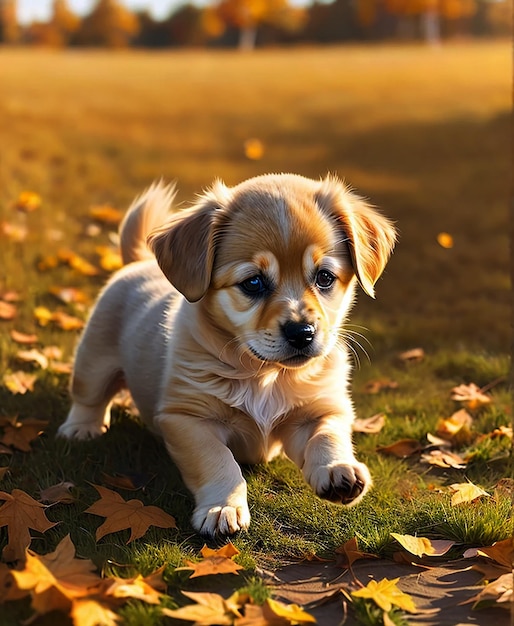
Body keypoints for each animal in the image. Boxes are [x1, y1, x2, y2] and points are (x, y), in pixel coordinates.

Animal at [59, 173, 396, 532]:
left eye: (325, 277)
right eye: (253, 283)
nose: (302, 333)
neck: (266, 376)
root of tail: (139, 262)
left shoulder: (319, 411)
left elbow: (328, 437)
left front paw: (337, 470)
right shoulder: (189, 419)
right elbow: (219, 462)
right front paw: (223, 507)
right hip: (93, 361)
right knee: (89, 398)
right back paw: (81, 428)